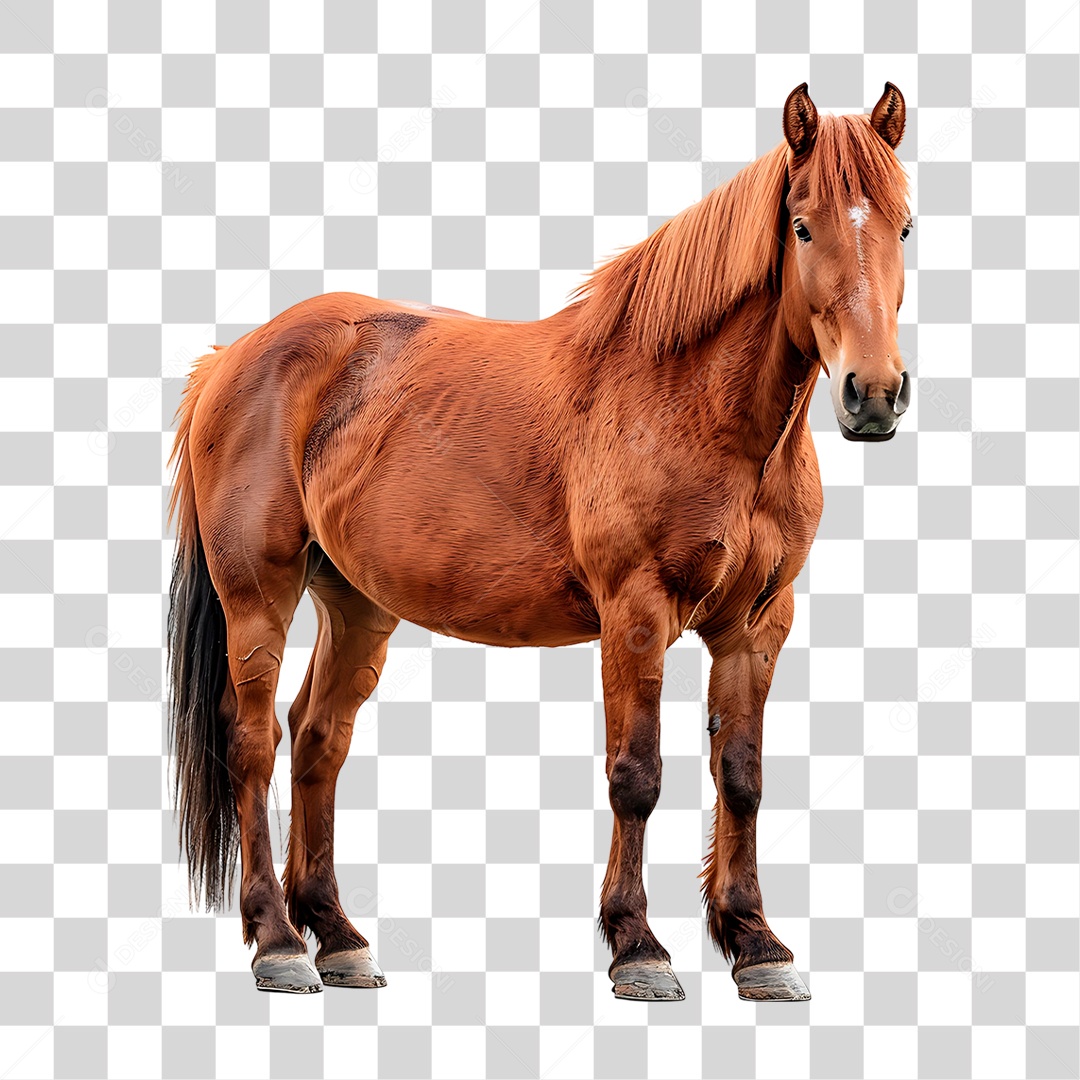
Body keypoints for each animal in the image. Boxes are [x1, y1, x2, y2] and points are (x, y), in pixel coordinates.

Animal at [167, 82, 911, 999]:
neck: (695, 404)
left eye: (904, 226)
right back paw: (276, 941)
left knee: (317, 740)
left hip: (357, 604)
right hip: (258, 598)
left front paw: (757, 946)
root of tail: (229, 359)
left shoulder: (757, 626)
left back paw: (337, 937)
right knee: (255, 744)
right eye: (804, 227)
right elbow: (637, 776)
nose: (873, 394)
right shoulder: (636, 614)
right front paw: (638, 949)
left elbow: (741, 777)